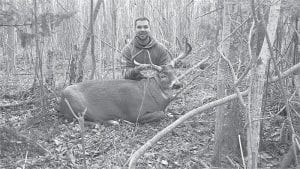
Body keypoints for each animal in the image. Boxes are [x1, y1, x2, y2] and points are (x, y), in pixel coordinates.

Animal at [59, 41, 192, 123]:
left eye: (175, 72)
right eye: (163, 75)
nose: (178, 84)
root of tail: (61, 99)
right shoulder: (135, 113)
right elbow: (161, 114)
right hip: (79, 108)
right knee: (83, 120)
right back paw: (113, 121)